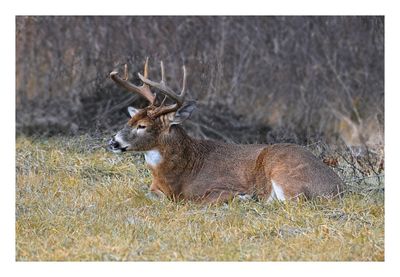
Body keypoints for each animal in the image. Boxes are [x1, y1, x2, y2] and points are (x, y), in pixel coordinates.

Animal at [107, 58, 344, 204]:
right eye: (130, 120)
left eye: (143, 126)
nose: (113, 142)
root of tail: (338, 188)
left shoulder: (221, 185)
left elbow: (199, 201)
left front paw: (241, 197)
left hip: (284, 171)